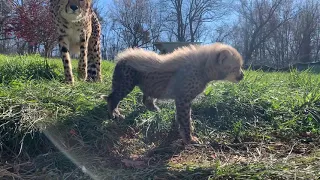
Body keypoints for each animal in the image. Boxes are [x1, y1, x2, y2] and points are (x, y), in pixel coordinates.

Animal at [102, 43, 245, 146]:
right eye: (236, 67)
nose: (243, 75)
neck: (204, 67)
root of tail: (123, 56)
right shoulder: (183, 99)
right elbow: (185, 119)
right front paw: (189, 138)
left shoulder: (181, 99)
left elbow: (182, 118)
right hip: (126, 83)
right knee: (112, 98)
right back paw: (115, 114)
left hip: (149, 86)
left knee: (146, 99)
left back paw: (156, 111)